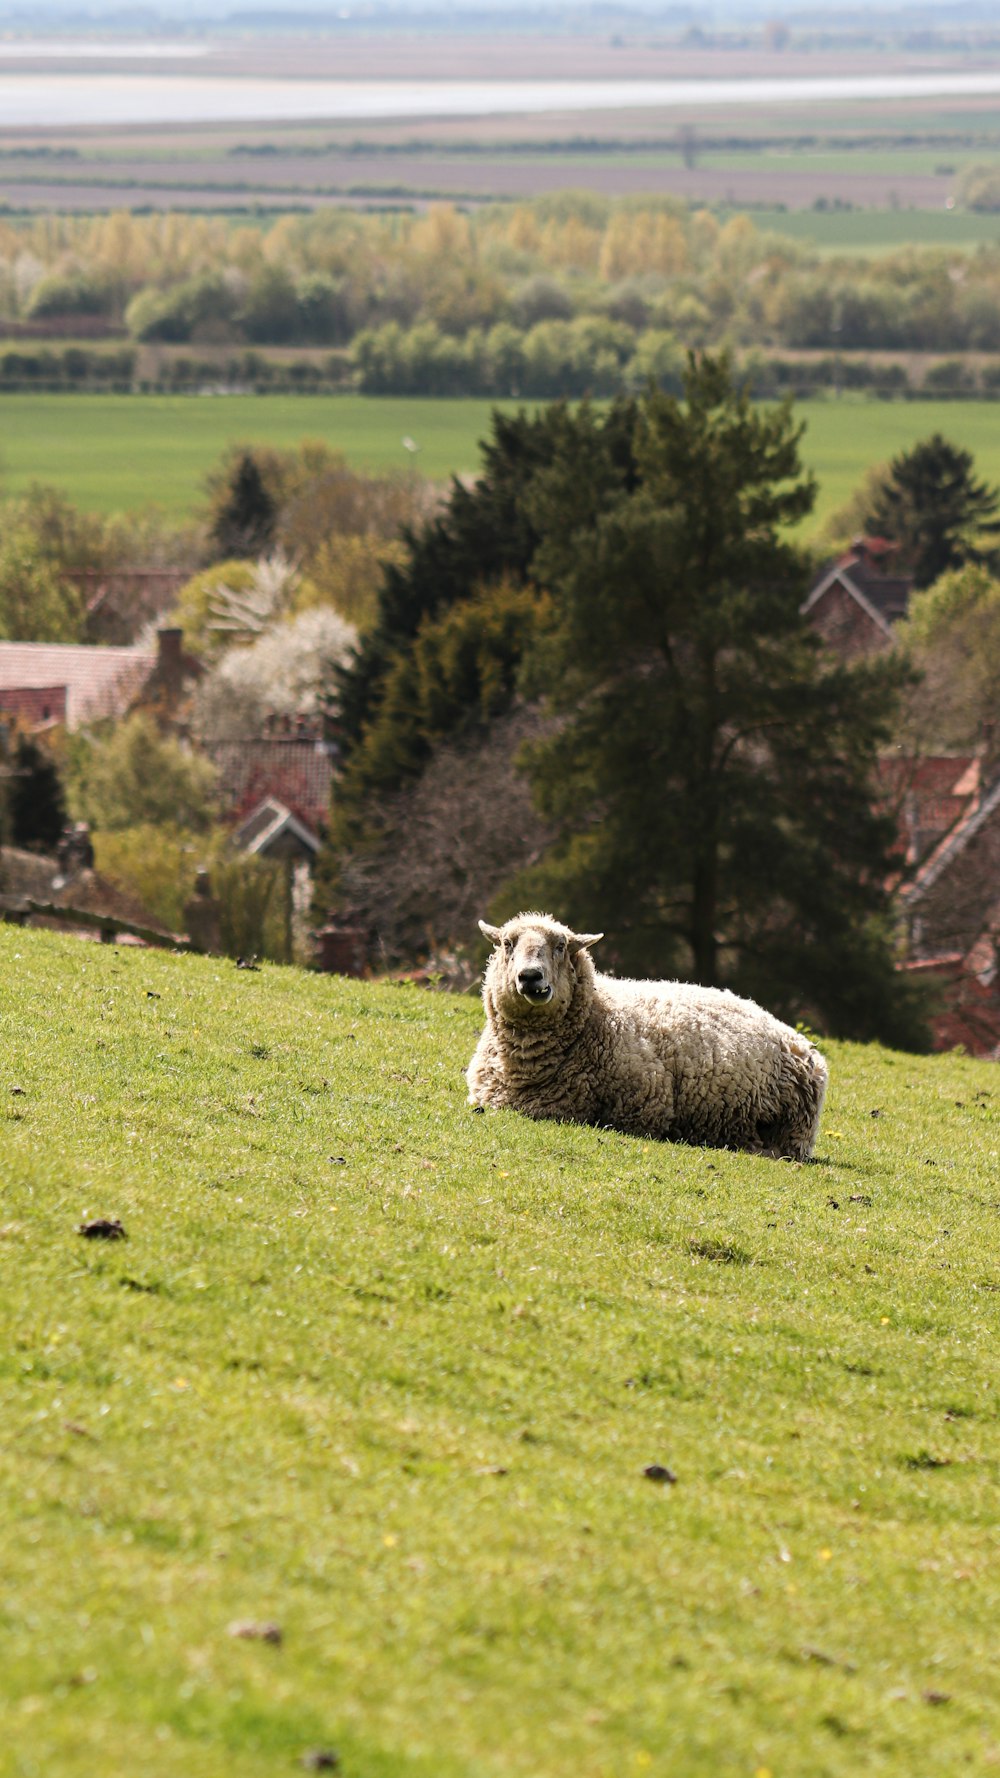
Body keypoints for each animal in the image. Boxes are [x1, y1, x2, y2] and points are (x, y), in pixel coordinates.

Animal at [466, 910, 825, 1159]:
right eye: (507, 944)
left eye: (561, 946)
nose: (530, 977)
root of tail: (799, 1042)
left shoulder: (645, 1106)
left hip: (791, 1127)